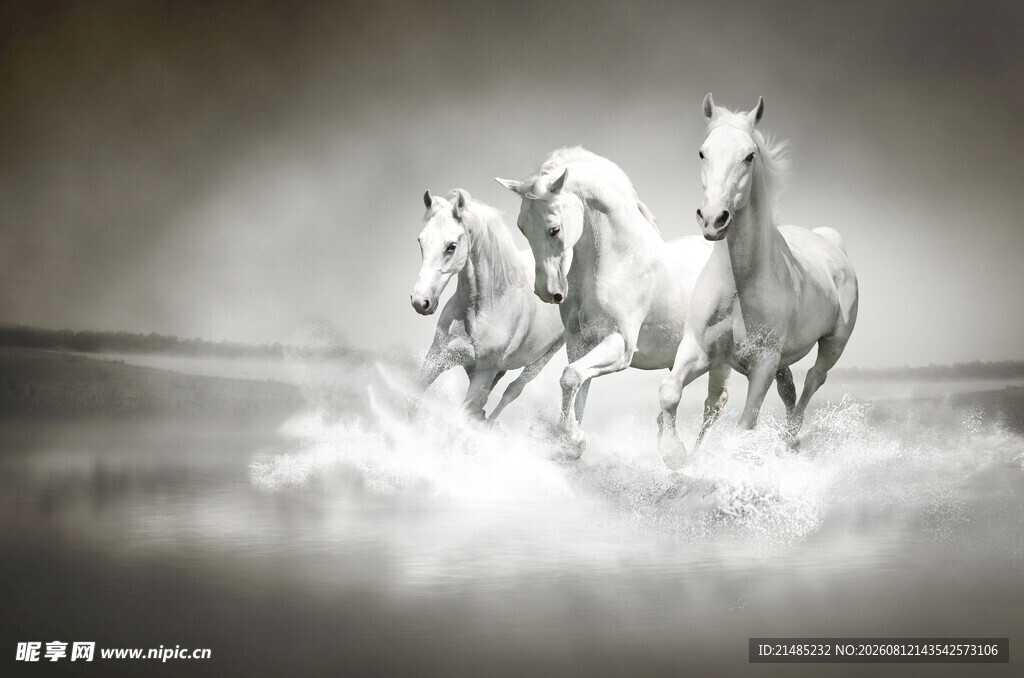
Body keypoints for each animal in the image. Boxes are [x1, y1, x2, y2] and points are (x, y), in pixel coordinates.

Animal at [410, 188, 565, 422]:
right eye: (421, 241)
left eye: (451, 246)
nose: (420, 302)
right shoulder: (436, 358)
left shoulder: (483, 374)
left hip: (544, 357)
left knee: (512, 390)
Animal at [496, 147, 729, 453]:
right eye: (522, 228)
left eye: (554, 229)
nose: (548, 292)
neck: (619, 261)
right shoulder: (580, 343)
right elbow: (577, 385)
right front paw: (573, 440)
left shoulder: (620, 345)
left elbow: (570, 377)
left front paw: (573, 436)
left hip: (722, 360)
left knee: (715, 404)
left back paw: (689, 458)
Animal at [657, 94, 859, 468]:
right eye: (702, 152)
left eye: (749, 156)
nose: (713, 219)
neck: (739, 284)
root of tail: (831, 244)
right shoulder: (699, 350)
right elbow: (670, 392)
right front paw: (675, 455)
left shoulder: (762, 364)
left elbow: (744, 427)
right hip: (782, 361)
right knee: (788, 389)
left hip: (833, 343)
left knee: (813, 380)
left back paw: (790, 440)